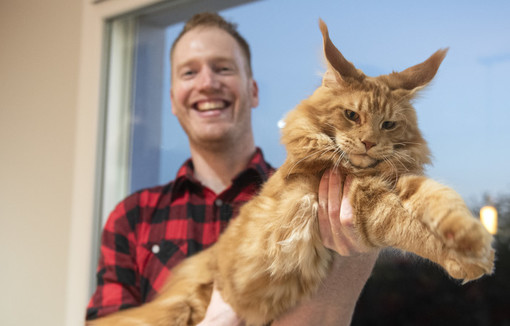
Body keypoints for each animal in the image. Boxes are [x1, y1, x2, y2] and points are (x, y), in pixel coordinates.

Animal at [87, 20, 494, 326]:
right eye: (352, 115)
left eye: (389, 124)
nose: (368, 142)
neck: (356, 170)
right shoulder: (367, 202)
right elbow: (410, 228)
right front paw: (464, 260)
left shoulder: (396, 181)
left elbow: (442, 199)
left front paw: (473, 242)